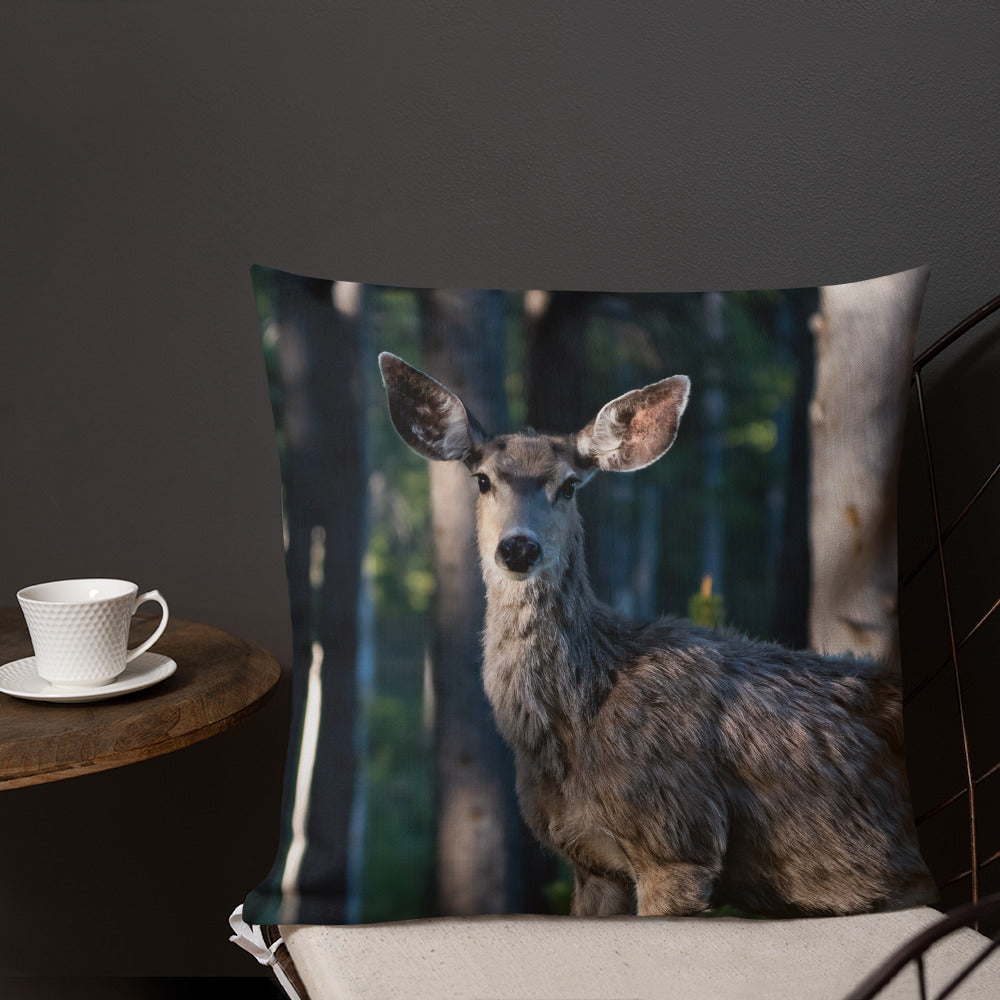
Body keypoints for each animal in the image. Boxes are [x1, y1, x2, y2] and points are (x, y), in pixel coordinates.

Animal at [378, 351, 937, 919]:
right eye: (483, 480)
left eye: (569, 485)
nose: (518, 548)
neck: (577, 718)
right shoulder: (589, 861)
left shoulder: (678, 838)